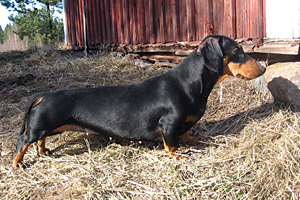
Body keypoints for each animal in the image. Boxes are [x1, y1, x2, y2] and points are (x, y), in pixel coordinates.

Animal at [11, 34, 266, 169]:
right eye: (237, 50)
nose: (264, 68)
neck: (188, 83)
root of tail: (44, 95)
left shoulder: (182, 125)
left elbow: (186, 134)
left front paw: (193, 140)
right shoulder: (168, 125)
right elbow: (172, 145)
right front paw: (179, 155)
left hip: (50, 127)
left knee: (39, 140)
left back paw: (44, 152)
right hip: (41, 126)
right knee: (23, 141)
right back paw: (17, 163)